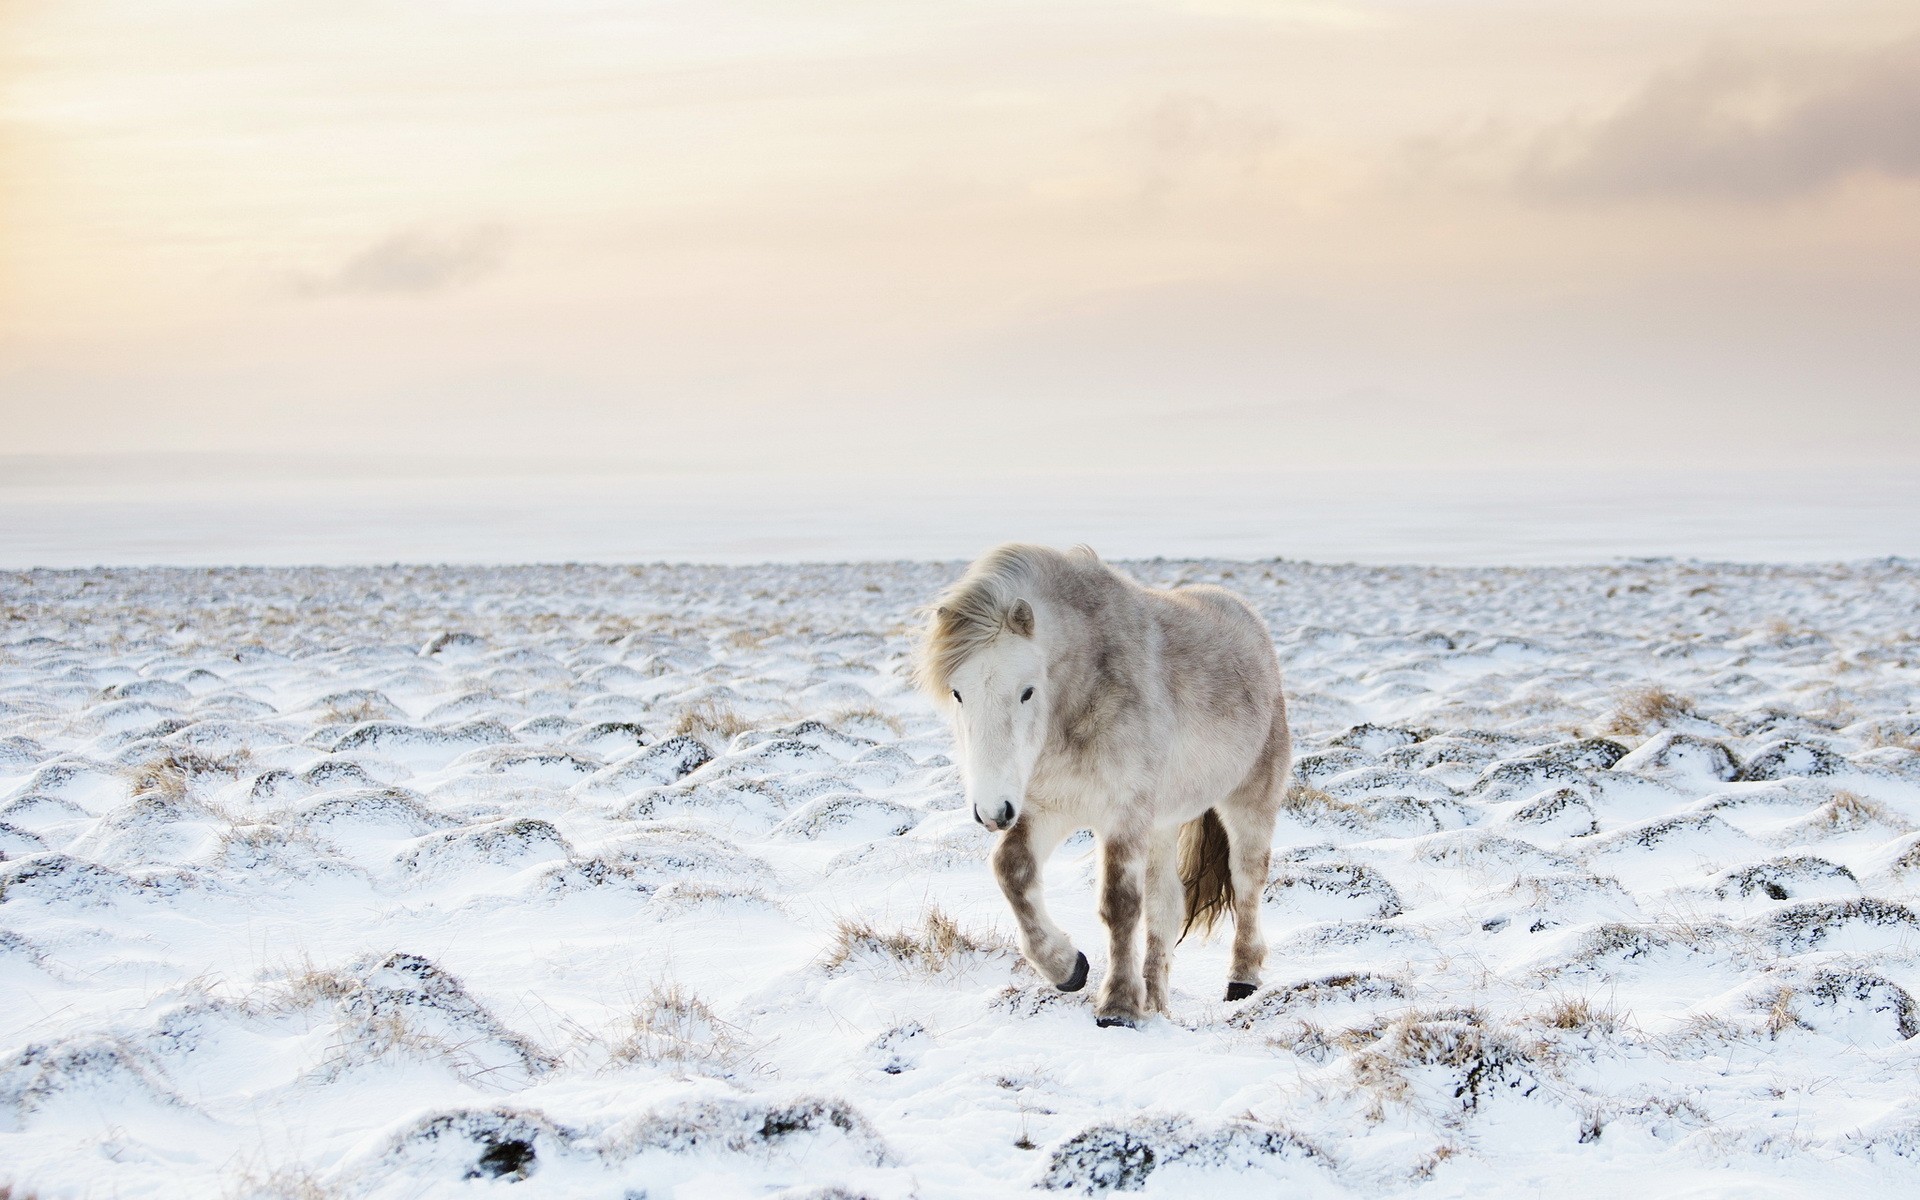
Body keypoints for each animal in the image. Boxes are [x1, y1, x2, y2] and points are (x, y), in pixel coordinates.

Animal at [916, 543, 1291, 1027]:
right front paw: (1067, 967)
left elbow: (1120, 904)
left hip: (1249, 799)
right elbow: (1011, 870)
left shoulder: (1122, 814)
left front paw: (1118, 1007)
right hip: (1161, 824)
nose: (992, 812)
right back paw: (1156, 1001)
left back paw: (1241, 982)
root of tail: (1248, 619)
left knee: (1247, 883)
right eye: (958, 692)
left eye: (1027, 691)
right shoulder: (1050, 808)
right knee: (1167, 906)